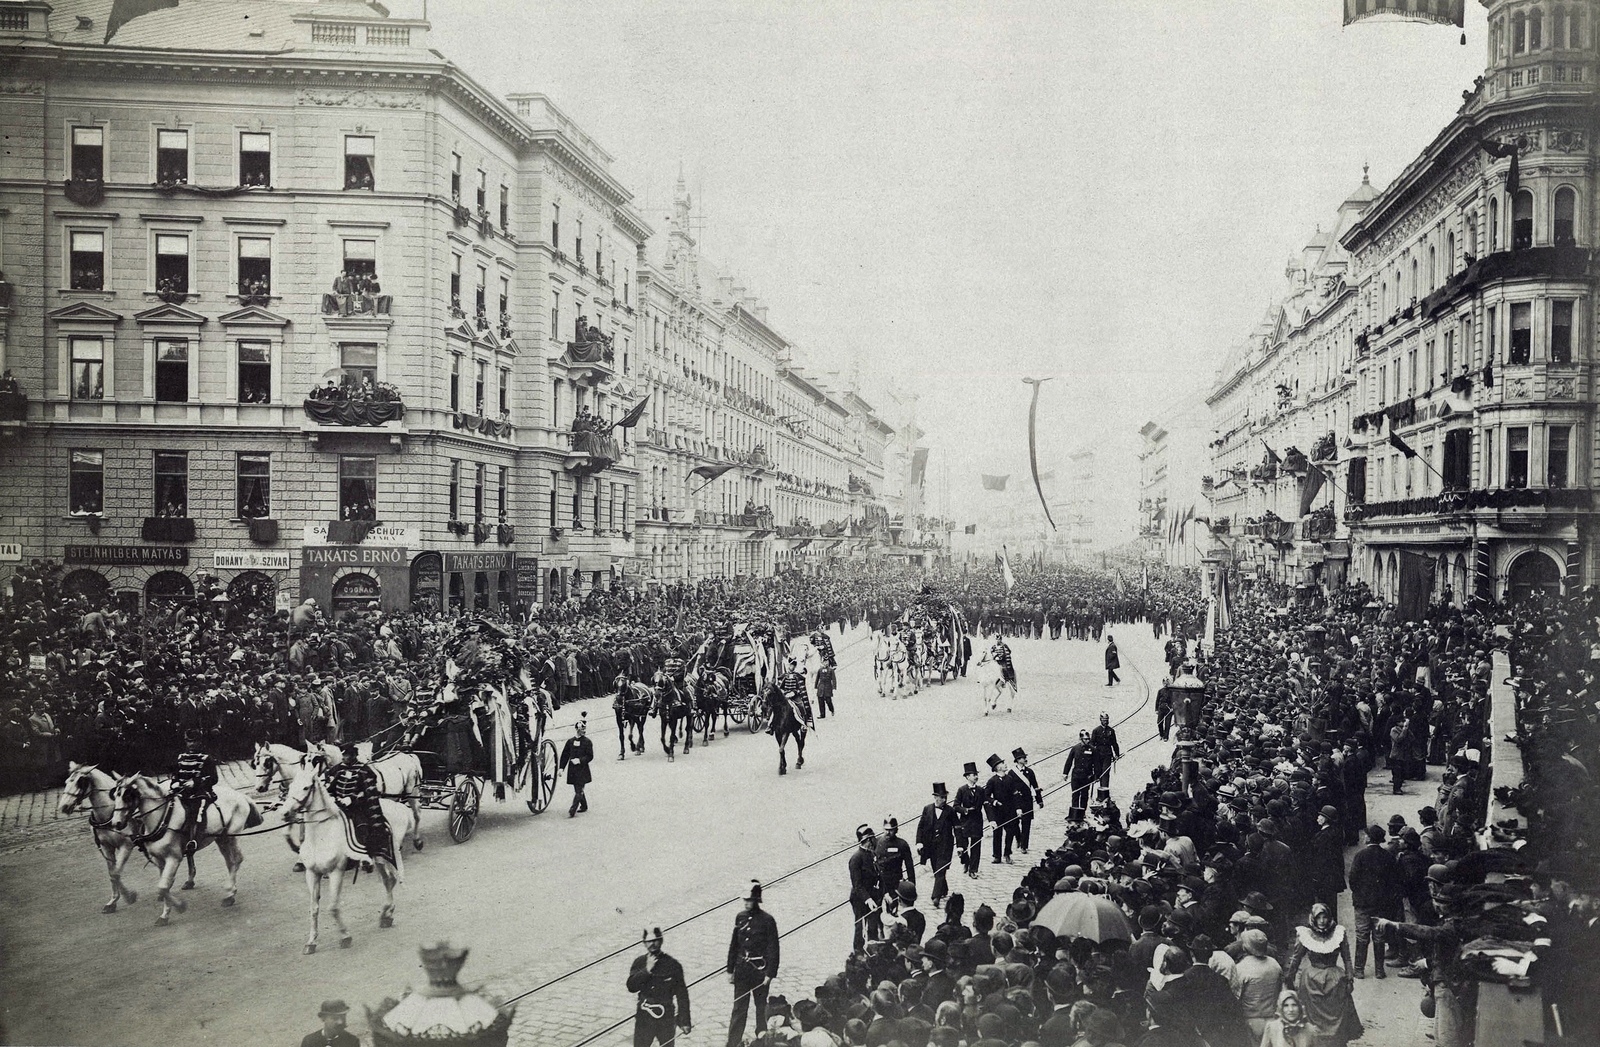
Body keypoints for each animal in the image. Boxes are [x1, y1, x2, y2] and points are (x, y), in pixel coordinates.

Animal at [60, 762, 140, 922]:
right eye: (66, 782)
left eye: (80, 782)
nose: (64, 806)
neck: (109, 814)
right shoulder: (106, 847)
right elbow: (112, 873)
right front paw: (114, 901)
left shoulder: (126, 846)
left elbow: (116, 873)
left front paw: (128, 896)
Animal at [108, 774, 257, 922]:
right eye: (115, 795)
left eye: (127, 796)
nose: (116, 823)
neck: (163, 819)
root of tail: (241, 796)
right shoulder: (159, 860)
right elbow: (164, 887)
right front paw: (165, 914)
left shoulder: (174, 858)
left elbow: (162, 887)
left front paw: (180, 906)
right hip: (221, 839)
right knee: (230, 862)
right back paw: (229, 892)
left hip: (230, 837)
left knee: (236, 860)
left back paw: (230, 895)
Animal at [284, 758, 416, 954]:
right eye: (292, 785)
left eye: (306, 787)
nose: (285, 813)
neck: (320, 835)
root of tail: (400, 807)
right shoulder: (312, 873)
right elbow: (314, 908)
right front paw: (311, 942)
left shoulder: (336, 872)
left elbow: (333, 907)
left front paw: (345, 936)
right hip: (379, 860)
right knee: (388, 881)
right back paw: (386, 914)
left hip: (386, 856)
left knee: (391, 879)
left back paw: (386, 912)